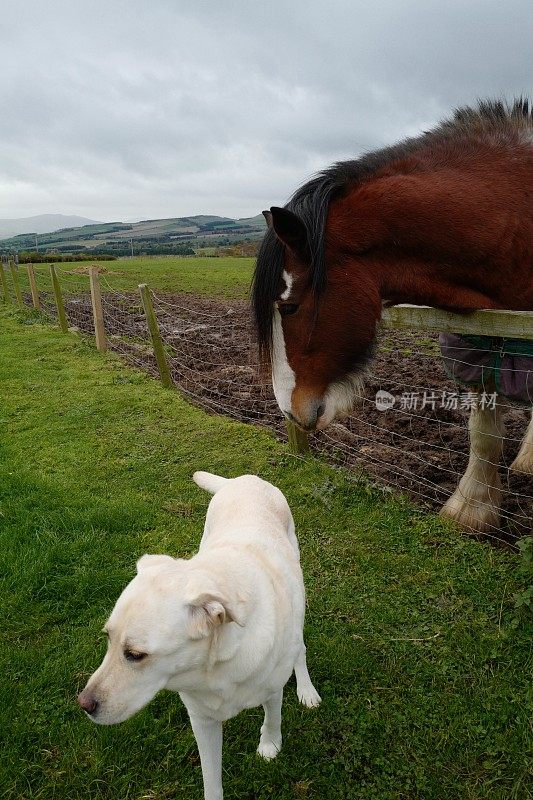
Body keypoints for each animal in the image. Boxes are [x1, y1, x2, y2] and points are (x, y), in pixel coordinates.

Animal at [78, 472, 320, 800]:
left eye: (136, 655)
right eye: (107, 638)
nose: (84, 704)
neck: (216, 666)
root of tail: (243, 478)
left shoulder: (272, 691)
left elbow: (273, 718)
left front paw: (270, 745)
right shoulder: (202, 721)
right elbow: (211, 781)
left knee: (300, 647)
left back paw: (306, 689)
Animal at [252, 100, 532, 536]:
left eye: (289, 307)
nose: (288, 411)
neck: (512, 210)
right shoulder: (482, 333)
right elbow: (483, 427)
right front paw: (473, 509)